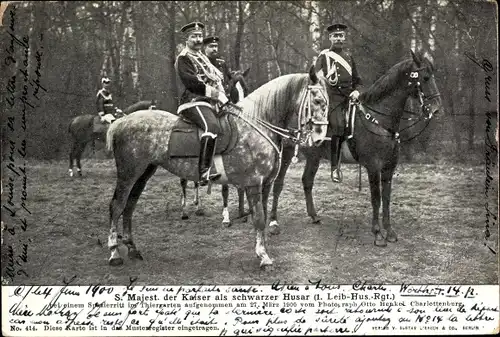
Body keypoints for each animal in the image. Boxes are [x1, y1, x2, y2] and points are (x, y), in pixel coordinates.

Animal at [105, 66, 332, 268]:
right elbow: (259, 219)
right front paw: (264, 257)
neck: (258, 123)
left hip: (144, 172)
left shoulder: (265, 184)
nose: (320, 138)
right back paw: (114, 253)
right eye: (317, 101)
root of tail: (120, 122)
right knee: (117, 205)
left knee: (130, 206)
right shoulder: (253, 184)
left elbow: (264, 216)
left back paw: (132, 249)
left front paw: (263, 250)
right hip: (128, 173)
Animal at [270, 49, 442, 244]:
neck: (380, 120)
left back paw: (313, 216)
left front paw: (389, 231)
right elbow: (376, 198)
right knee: (278, 183)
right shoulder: (373, 167)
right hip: (287, 151)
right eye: (425, 77)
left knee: (307, 181)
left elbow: (386, 198)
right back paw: (274, 223)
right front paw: (377, 233)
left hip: (314, 156)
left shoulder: (389, 168)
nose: (436, 109)